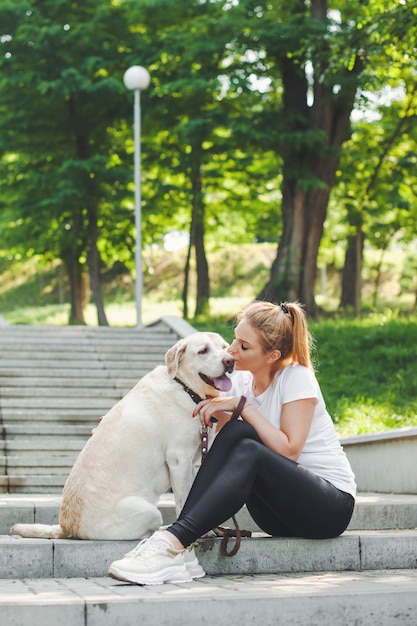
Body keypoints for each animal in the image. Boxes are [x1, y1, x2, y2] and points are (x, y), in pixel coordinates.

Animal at [10, 330, 234, 540]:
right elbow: (185, 497)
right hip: (149, 511)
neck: (185, 388)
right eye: (203, 350)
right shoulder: (179, 458)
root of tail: (67, 528)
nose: (230, 361)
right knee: (148, 532)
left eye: (225, 347)